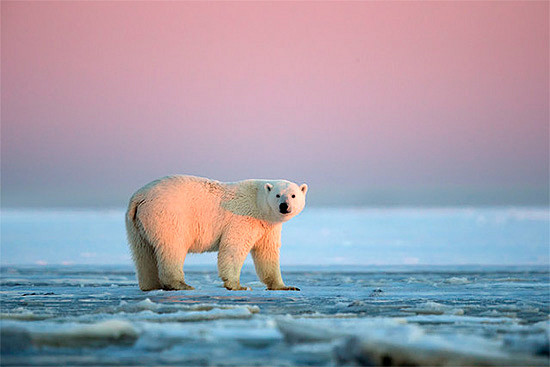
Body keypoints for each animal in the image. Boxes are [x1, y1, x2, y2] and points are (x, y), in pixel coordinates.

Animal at [125, 175, 308, 294]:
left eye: (293, 195)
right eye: (278, 195)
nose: (284, 206)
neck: (258, 203)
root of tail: (139, 197)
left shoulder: (267, 227)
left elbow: (267, 253)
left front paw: (286, 286)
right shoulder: (243, 218)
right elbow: (234, 248)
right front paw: (238, 286)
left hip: (136, 224)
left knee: (143, 253)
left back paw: (151, 285)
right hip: (167, 215)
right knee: (172, 247)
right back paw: (181, 284)